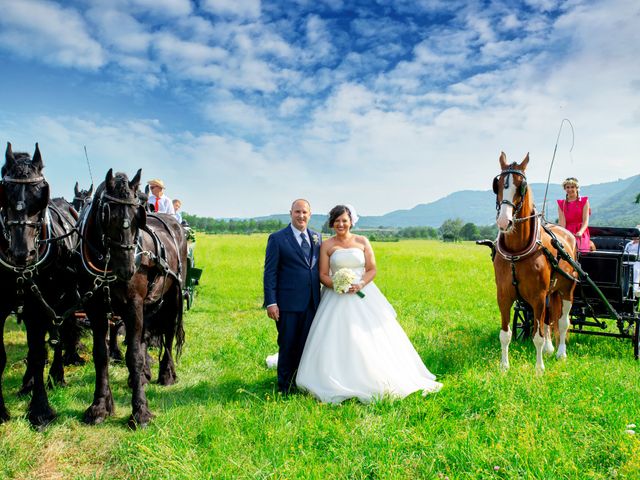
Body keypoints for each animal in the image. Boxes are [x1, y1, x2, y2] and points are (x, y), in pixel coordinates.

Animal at [0, 141, 80, 426]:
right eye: (4, 193)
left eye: (41, 195)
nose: (22, 253)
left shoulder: (38, 306)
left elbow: (38, 354)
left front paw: (40, 409)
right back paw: (28, 382)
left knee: (60, 335)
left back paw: (57, 374)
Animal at [78, 169, 186, 428]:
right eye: (108, 215)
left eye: (139, 218)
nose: (128, 268)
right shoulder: (95, 308)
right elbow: (101, 354)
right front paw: (99, 406)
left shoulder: (133, 305)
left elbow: (134, 355)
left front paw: (140, 411)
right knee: (147, 334)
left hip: (173, 296)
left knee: (168, 333)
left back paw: (166, 373)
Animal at [492, 152, 576, 374]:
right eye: (498, 184)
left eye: (521, 185)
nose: (504, 222)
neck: (516, 252)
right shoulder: (503, 296)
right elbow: (505, 334)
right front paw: (504, 367)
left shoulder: (538, 297)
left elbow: (537, 336)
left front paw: (539, 369)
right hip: (550, 293)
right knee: (547, 320)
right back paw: (549, 348)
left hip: (567, 290)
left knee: (562, 322)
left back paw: (560, 353)